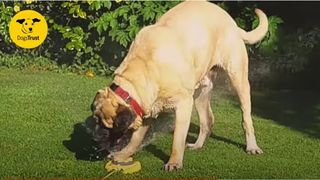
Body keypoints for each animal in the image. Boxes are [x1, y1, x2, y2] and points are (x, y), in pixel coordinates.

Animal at [91, 0, 268, 171]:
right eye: (97, 120)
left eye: (110, 127)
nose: (95, 139)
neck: (144, 68)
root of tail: (232, 23)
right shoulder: (147, 108)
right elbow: (136, 139)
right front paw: (123, 155)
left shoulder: (183, 104)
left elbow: (177, 138)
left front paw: (174, 163)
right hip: (200, 92)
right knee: (207, 120)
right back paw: (197, 145)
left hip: (238, 79)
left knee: (246, 118)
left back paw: (252, 147)